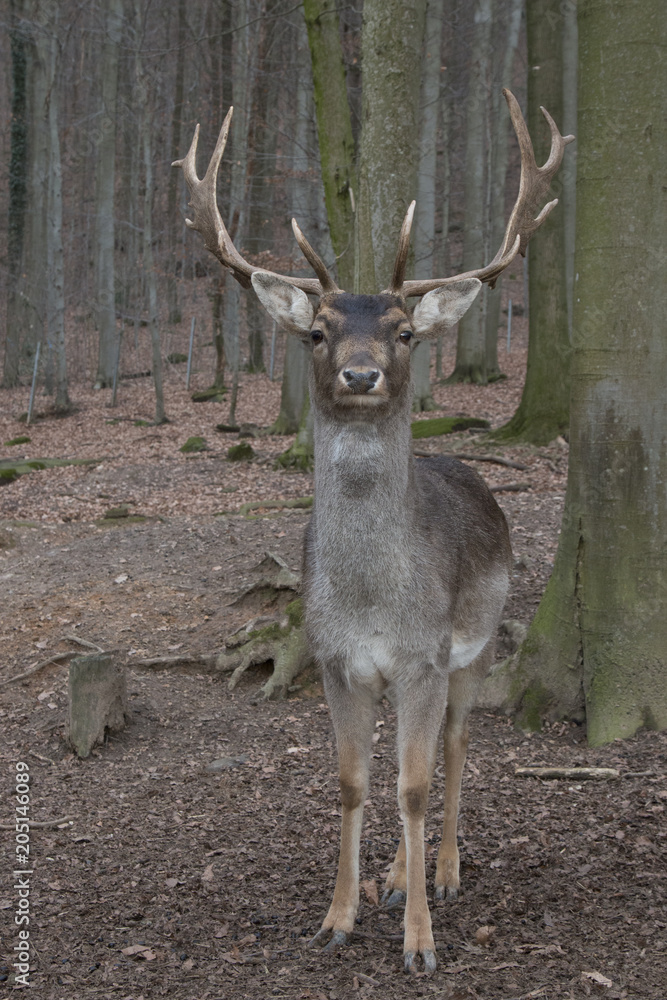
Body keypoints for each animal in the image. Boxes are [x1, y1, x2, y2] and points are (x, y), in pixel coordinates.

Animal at [174, 89, 574, 974]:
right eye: (316, 330)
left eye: (405, 331)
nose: (362, 374)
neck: (369, 599)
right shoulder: (336, 659)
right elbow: (355, 782)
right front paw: (338, 916)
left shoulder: (424, 653)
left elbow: (414, 785)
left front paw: (419, 941)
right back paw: (394, 875)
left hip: (475, 644)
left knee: (453, 746)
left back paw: (443, 870)